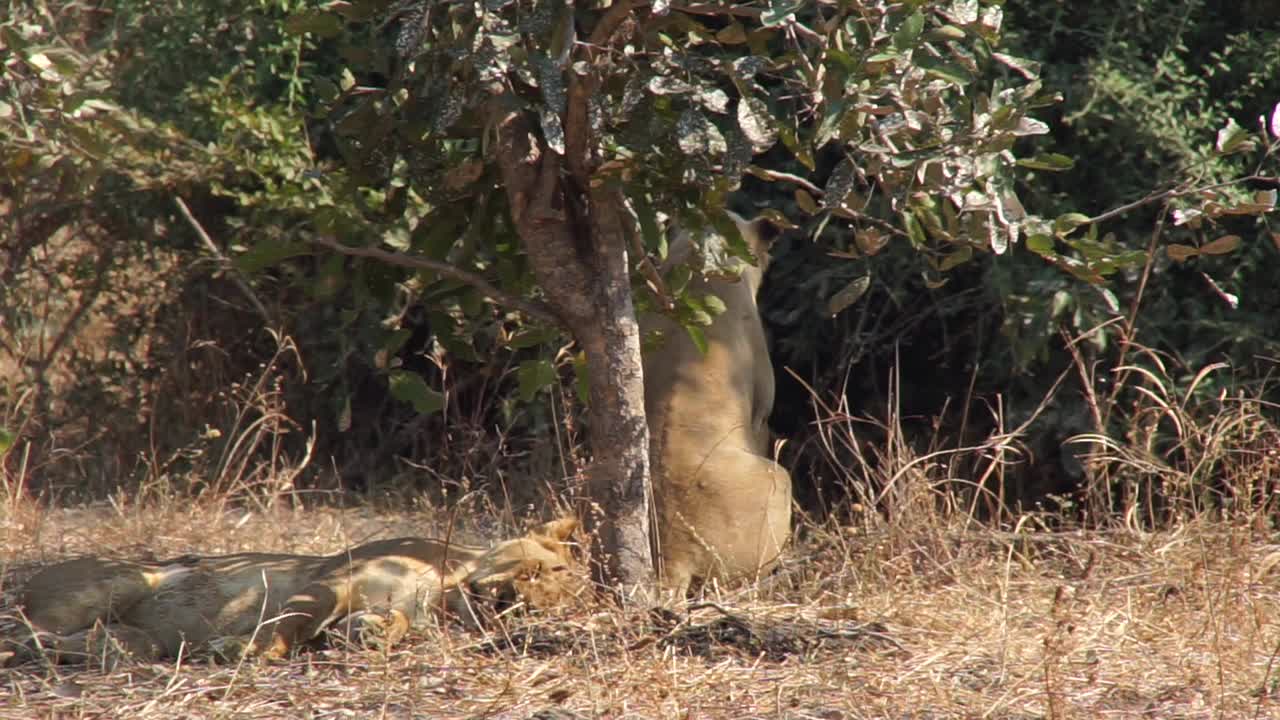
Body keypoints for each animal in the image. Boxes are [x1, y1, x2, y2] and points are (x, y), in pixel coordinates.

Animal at [2, 515, 583, 661]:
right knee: (16, 630)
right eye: (539, 573)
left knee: (84, 643)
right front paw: (246, 649)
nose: (512, 605)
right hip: (126, 576)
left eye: (544, 609)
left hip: (132, 640)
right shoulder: (337, 577)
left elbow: (389, 623)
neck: (445, 589)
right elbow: (290, 622)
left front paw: (373, 635)